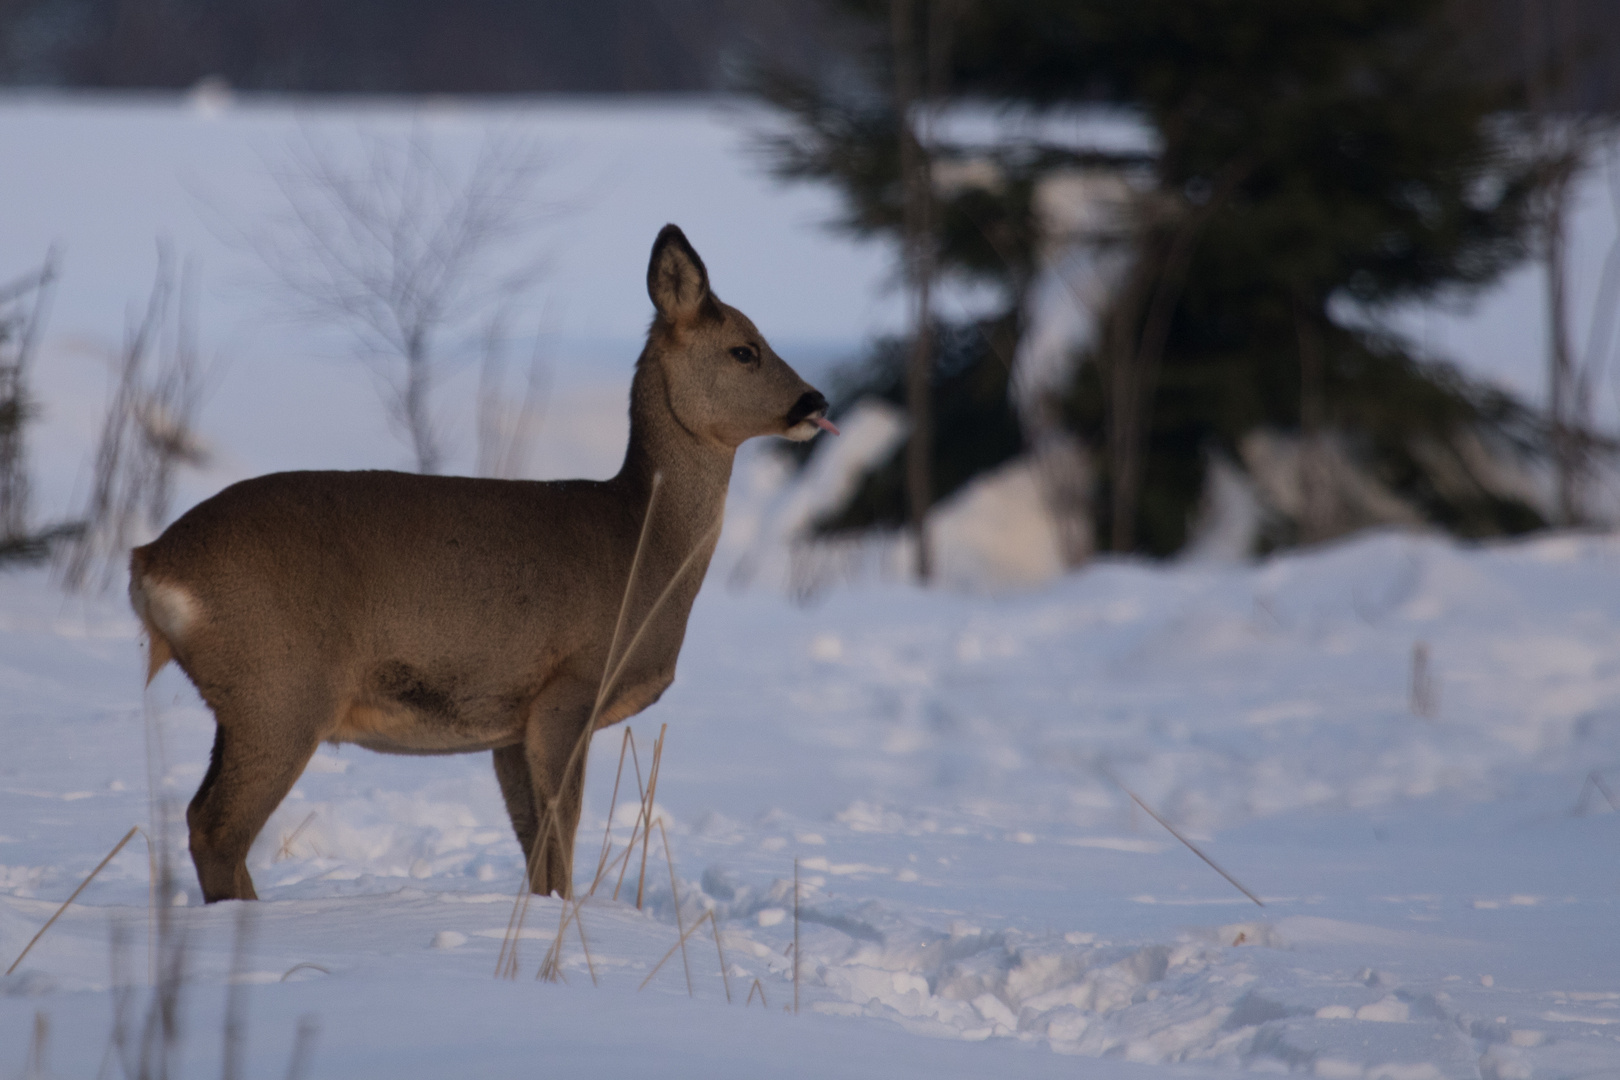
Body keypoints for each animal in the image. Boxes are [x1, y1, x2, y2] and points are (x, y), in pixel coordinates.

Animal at [127, 228, 835, 906]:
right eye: (745, 349)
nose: (815, 400)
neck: (642, 543)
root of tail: (150, 560)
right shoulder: (569, 687)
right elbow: (560, 837)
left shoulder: (509, 726)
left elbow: (534, 849)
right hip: (280, 690)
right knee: (217, 828)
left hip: (243, 701)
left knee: (201, 819)